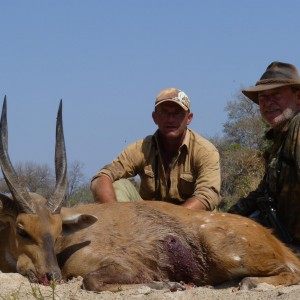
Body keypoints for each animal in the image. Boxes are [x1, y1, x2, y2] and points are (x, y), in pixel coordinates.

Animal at [0, 97, 300, 292]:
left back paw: (251, 282)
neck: (69, 242)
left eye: (58, 229)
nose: (51, 276)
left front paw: (168, 283)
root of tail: (275, 241)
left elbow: (92, 281)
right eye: (22, 229)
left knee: (291, 270)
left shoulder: (118, 266)